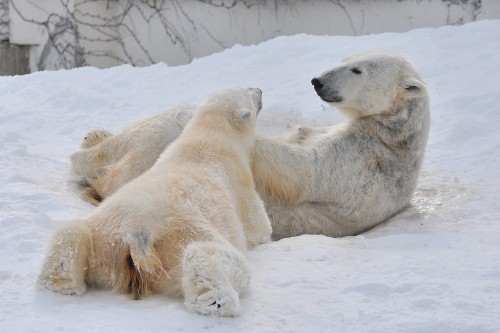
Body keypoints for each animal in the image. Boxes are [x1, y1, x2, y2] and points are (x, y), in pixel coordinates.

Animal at [39, 88, 272, 316]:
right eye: (248, 92)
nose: (260, 90)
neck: (208, 136)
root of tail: (136, 234)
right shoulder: (241, 183)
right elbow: (258, 227)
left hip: (102, 237)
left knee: (71, 233)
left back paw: (61, 282)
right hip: (180, 238)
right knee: (210, 255)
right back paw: (216, 301)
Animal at [70, 50, 430, 239]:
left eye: (357, 70)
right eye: (347, 57)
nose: (318, 81)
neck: (394, 137)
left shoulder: (363, 161)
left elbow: (304, 171)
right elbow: (300, 135)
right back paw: (94, 138)